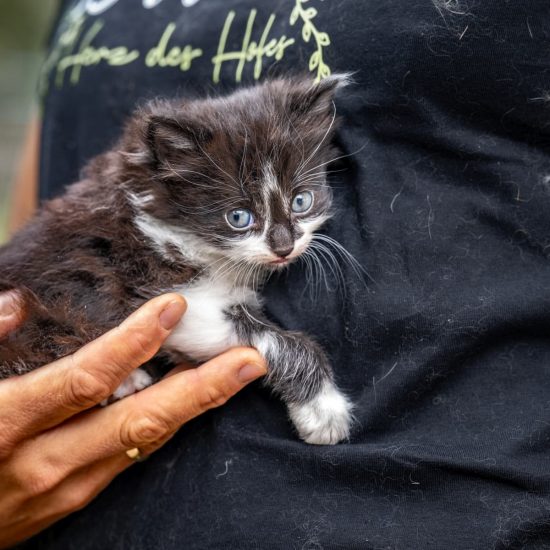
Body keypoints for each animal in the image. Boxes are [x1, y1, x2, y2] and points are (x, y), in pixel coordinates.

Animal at [0, 75, 354, 446]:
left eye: (302, 201)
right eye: (238, 218)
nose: (284, 247)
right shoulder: (161, 288)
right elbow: (271, 334)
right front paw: (323, 409)